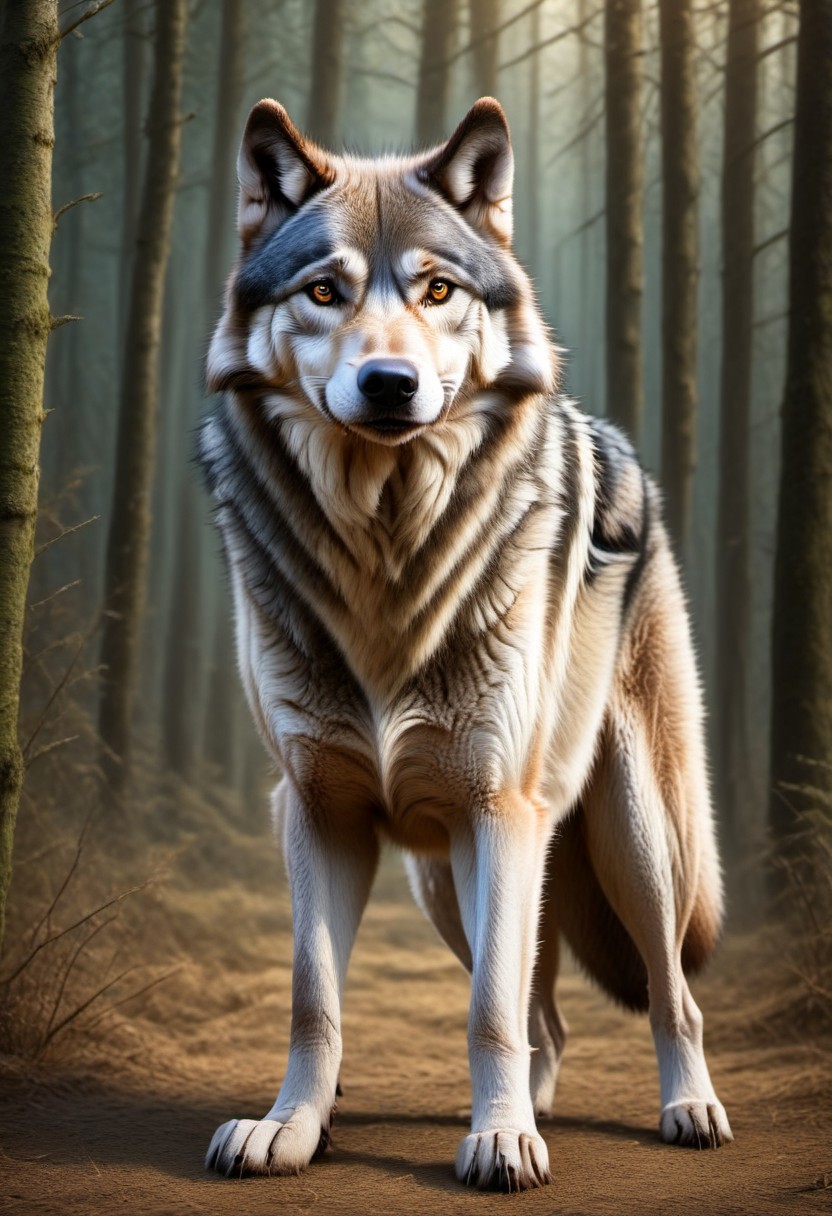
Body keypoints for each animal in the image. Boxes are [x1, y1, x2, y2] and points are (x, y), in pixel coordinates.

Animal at [198, 97, 732, 1191]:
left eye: (437, 289)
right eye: (325, 292)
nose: (389, 384)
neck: (386, 552)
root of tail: (616, 446)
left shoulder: (499, 806)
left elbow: (486, 1009)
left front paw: (499, 1144)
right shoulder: (314, 807)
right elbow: (315, 999)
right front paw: (290, 1129)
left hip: (627, 839)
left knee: (666, 991)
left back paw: (685, 1107)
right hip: (446, 875)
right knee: (543, 1012)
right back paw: (530, 1107)